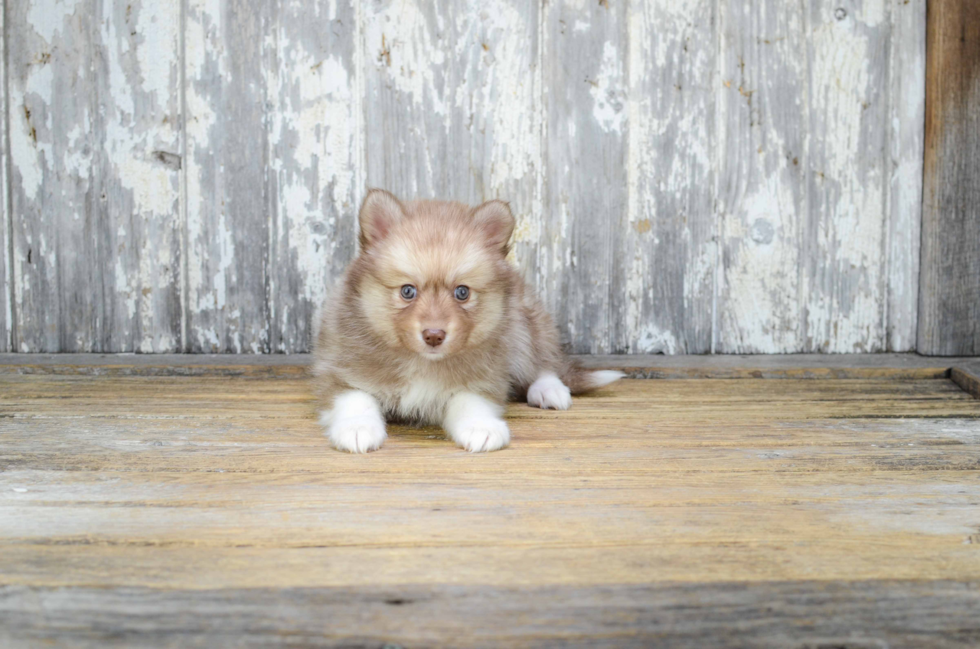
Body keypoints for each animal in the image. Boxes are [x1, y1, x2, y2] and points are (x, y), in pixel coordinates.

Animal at [310, 187, 624, 450]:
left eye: (462, 292)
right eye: (407, 291)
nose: (434, 335)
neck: (423, 362)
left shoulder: (484, 375)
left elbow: (469, 402)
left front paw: (481, 427)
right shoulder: (341, 370)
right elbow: (355, 399)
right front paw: (357, 428)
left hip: (523, 325)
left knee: (543, 362)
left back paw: (550, 390)